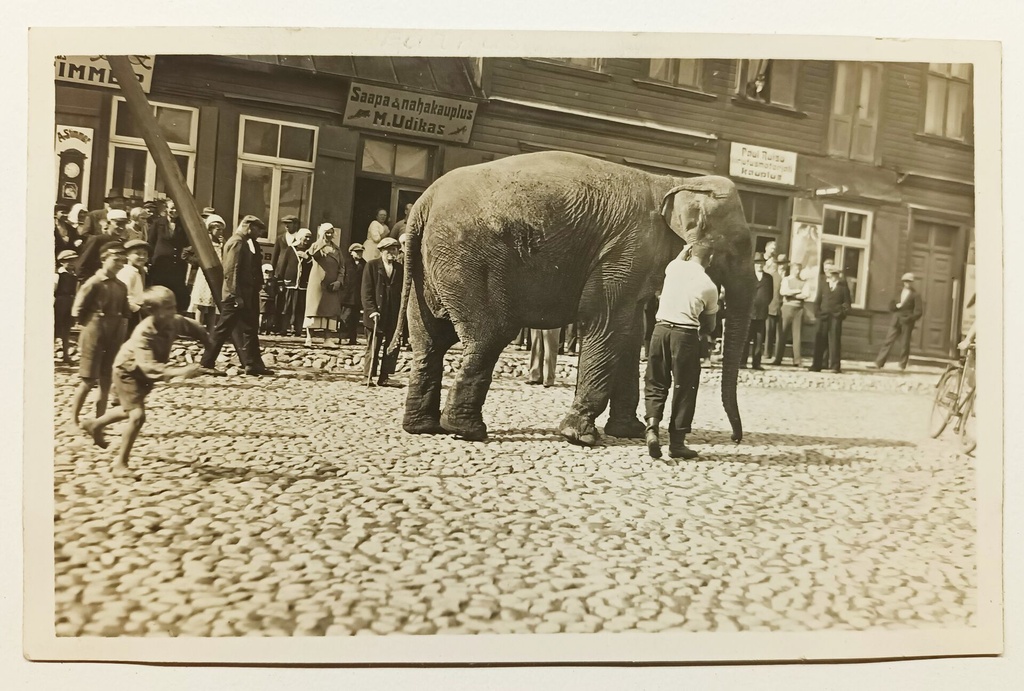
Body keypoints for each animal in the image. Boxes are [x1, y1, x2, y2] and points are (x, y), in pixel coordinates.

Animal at [387, 150, 757, 448]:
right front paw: (581, 438)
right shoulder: (626, 250)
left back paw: (423, 428)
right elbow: (605, 323)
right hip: (470, 260)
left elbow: (630, 333)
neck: (674, 181)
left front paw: (629, 432)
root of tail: (423, 204)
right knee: (490, 334)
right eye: (740, 245)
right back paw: (467, 431)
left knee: (429, 341)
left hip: (431, 267)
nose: (737, 439)